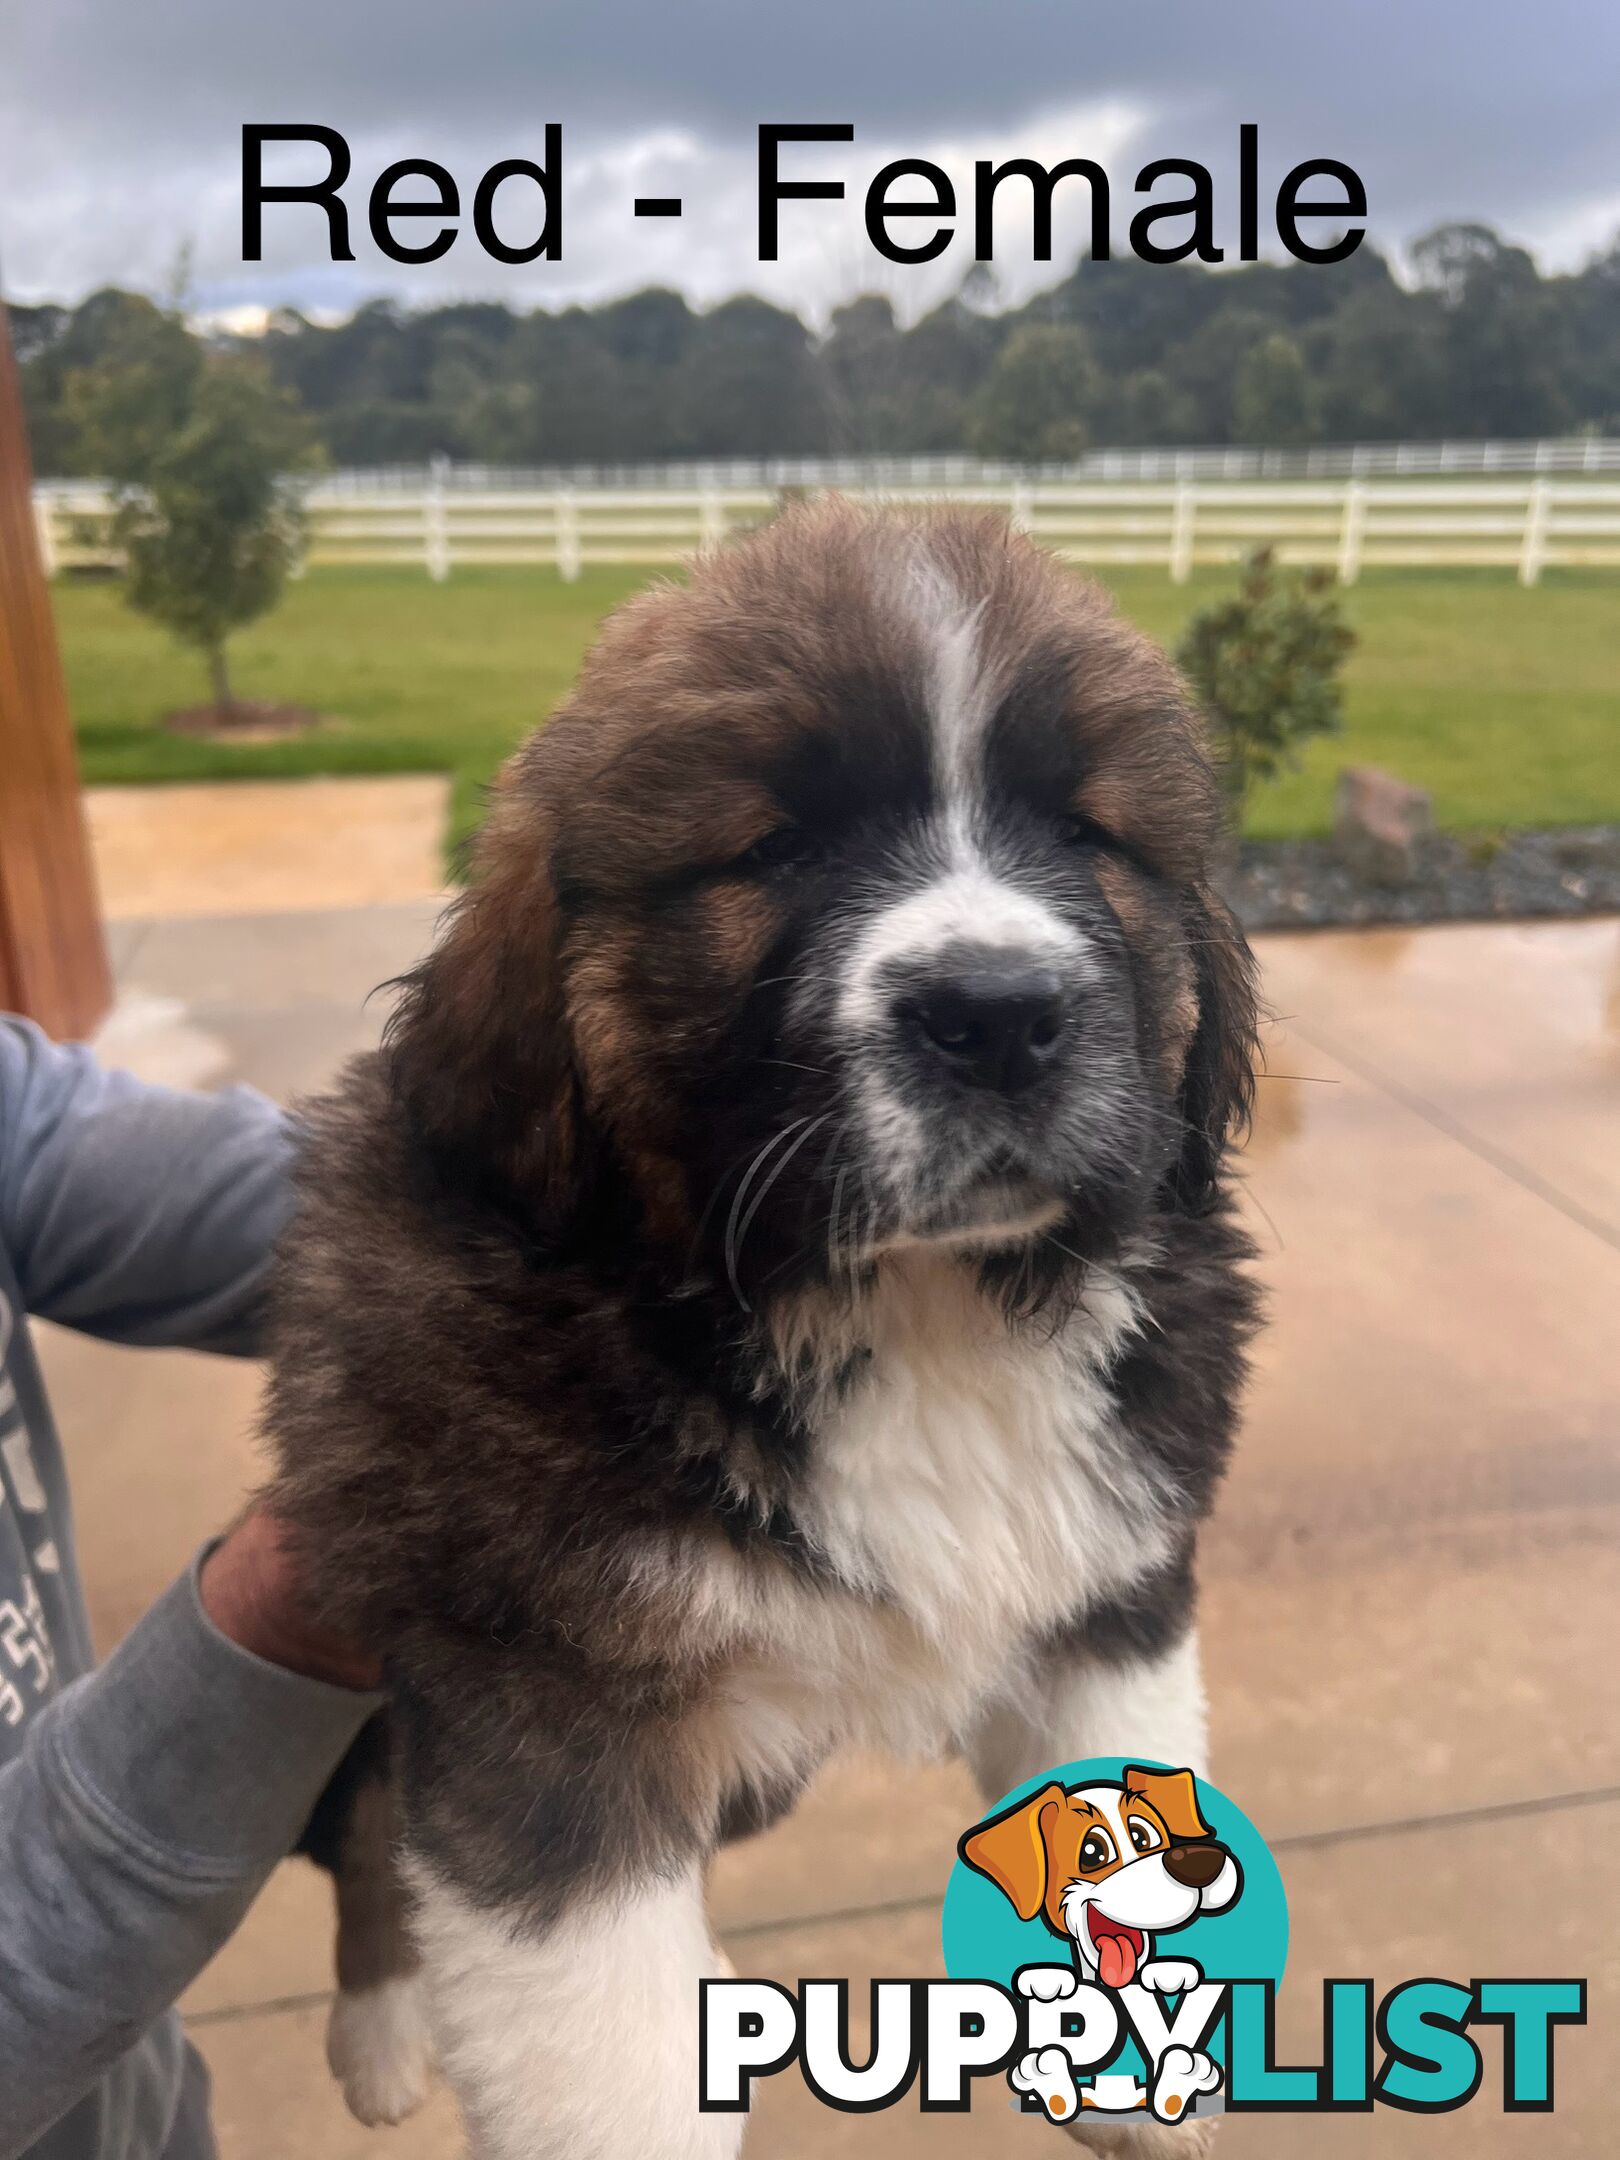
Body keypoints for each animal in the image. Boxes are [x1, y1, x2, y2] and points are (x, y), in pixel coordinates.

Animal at [266, 496, 1261, 2151]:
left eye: (1086, 835)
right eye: (777, 846)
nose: (998, 1014)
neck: (913, 1311)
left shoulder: (1114, 1581)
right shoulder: (544, 1703)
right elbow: (606, 2070)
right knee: (363, 1837)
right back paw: (382, 2036)